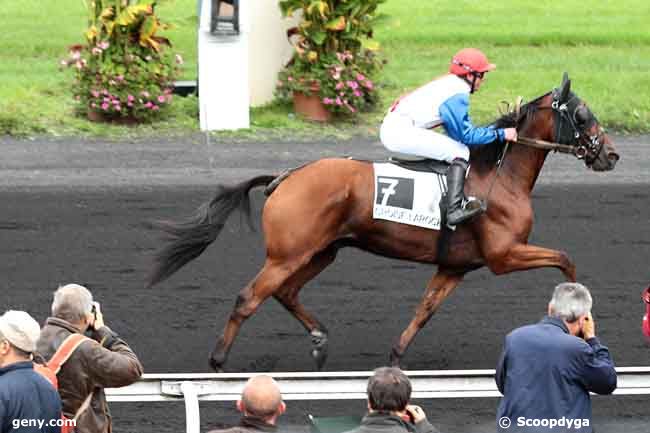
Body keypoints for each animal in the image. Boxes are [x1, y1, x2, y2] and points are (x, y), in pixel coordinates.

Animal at [147, 72, 616, 370]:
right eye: (582, 114)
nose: (610, 154)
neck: (498, 176)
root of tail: (286, 176)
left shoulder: (455, 265)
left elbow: (425, 309)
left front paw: (395, 356)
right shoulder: (504, 255)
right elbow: (566, 259)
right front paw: (578, 317)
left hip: (321, 252)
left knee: (286, 292)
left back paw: (319, 341)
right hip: (289, 253)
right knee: (250, 297)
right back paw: (218, 360)